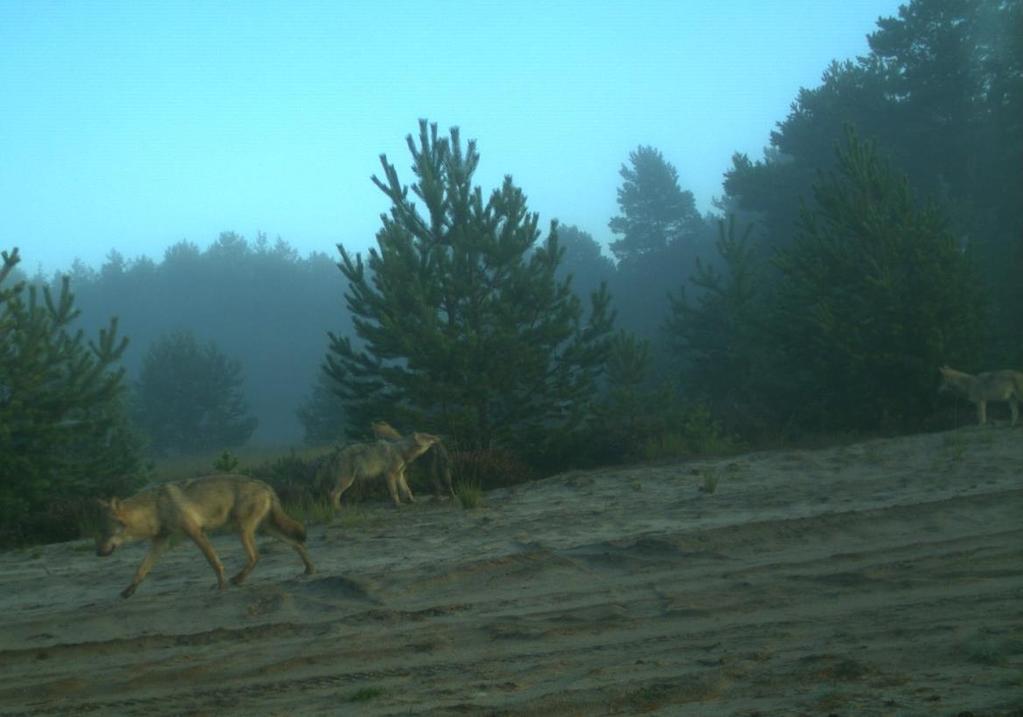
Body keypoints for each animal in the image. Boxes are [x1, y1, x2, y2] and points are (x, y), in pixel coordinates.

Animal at [96, 472, 313, 597]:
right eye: (100, 533)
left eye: (106, 533)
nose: (97, 553)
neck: (155, 509)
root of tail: (264, 484)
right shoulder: (160, 542)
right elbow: (141, 569)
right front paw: (128, 591)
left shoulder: (196, 533)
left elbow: (214, 562)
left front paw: (221, 586)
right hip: (264, 529)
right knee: (297, 543)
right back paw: (309, 570)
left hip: (243, 530)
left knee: (256, 556)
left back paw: (237, 580)